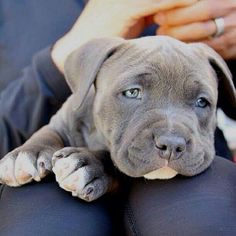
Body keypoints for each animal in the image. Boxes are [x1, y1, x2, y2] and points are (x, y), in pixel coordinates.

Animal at [0, 36, 236, 201]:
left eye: (202, 102)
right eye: (132, 92)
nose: (171, 145)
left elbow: (114, 163)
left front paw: (87, 165)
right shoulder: (62, 122)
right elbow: (46, 134)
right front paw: (25, 155)